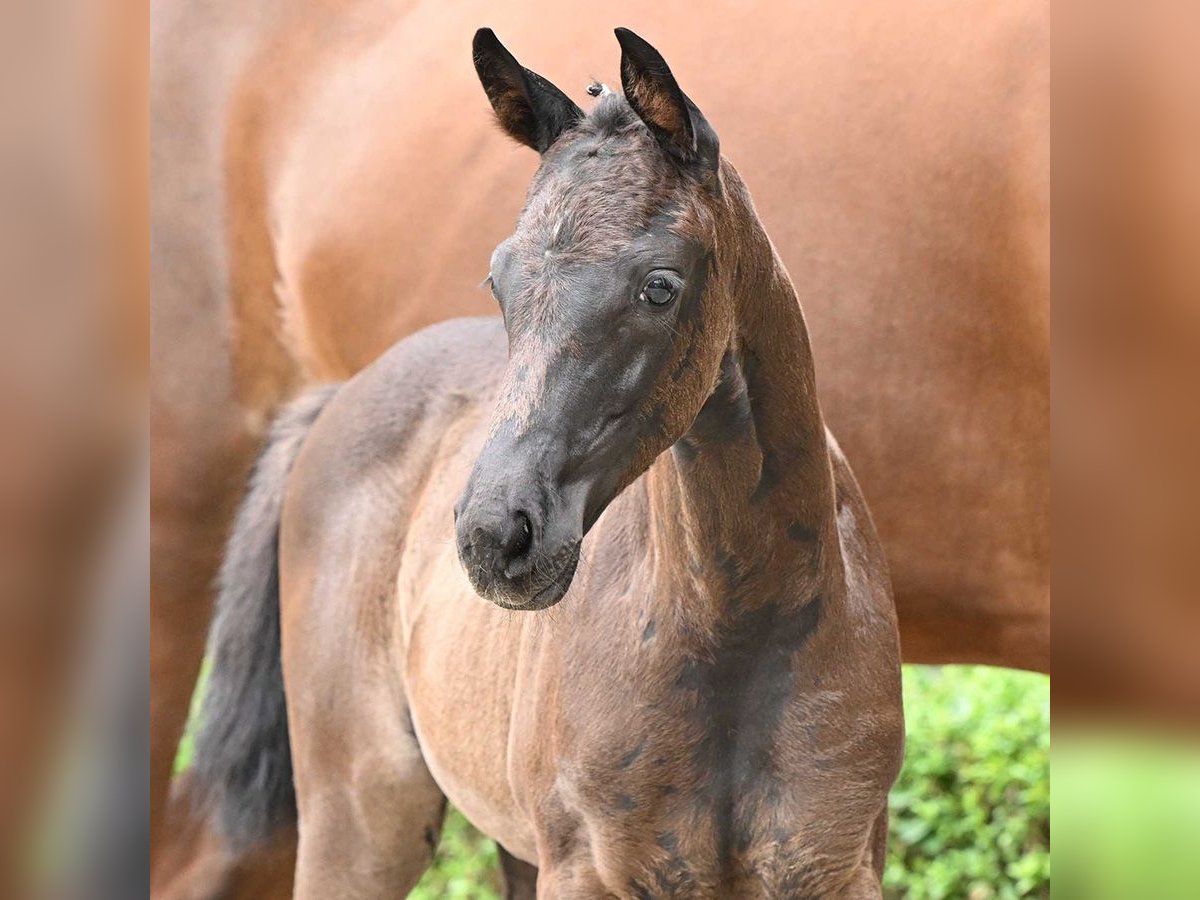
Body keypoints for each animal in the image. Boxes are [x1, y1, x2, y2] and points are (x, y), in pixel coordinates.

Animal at [150, 0, 1046, 897]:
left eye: (660, 285)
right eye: (499, 279)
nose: (495, 535)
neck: (736, 628)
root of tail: (337, 395)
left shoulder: (838, 865)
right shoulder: (584, 868)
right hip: (363, 814)